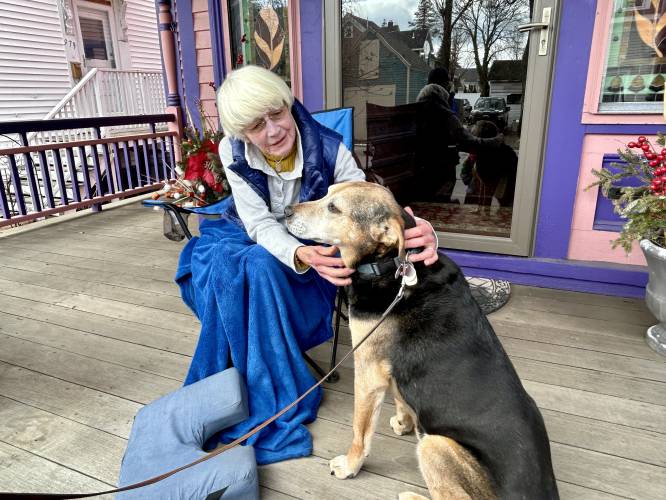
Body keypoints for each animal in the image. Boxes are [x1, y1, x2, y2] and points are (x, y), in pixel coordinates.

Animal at [282, 183, 556, 500]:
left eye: (333, 208)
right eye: (327, 192)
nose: (286, 211)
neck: (392, 265)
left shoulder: (368, 370)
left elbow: (360, 431)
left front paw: (350, 465)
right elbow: (401, 395)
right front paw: (404, 421)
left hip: (434, 445)